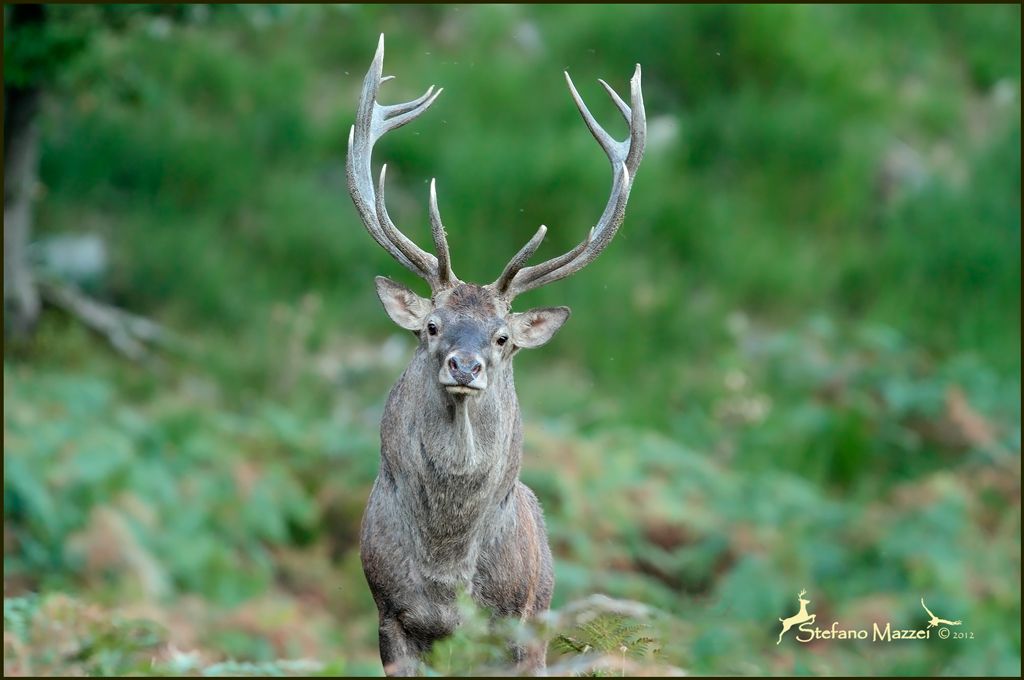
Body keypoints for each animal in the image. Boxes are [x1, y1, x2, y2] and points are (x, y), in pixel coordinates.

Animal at [348, 35, 643, 675]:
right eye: (430, 326)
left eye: (504, 338)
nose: (465, 364)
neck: (444, 573)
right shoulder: (387, 614)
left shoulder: (515, 625)